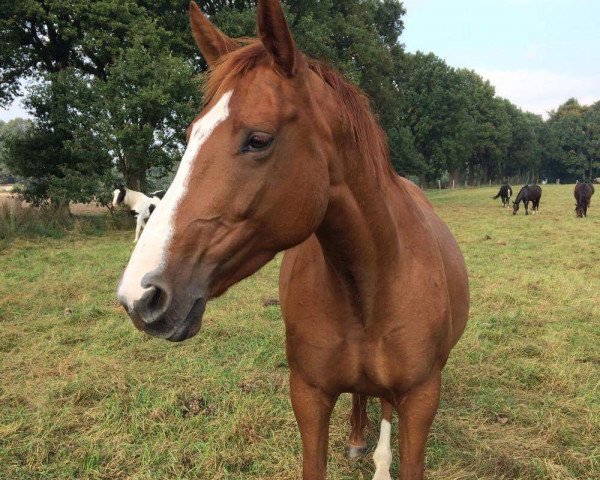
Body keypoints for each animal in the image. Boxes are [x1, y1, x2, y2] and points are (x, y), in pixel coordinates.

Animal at [117, 1, 472, 478]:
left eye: (258, 139)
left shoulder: (420, 401)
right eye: (190, 136)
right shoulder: (308, 396)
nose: (138, 295)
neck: (372, 284)